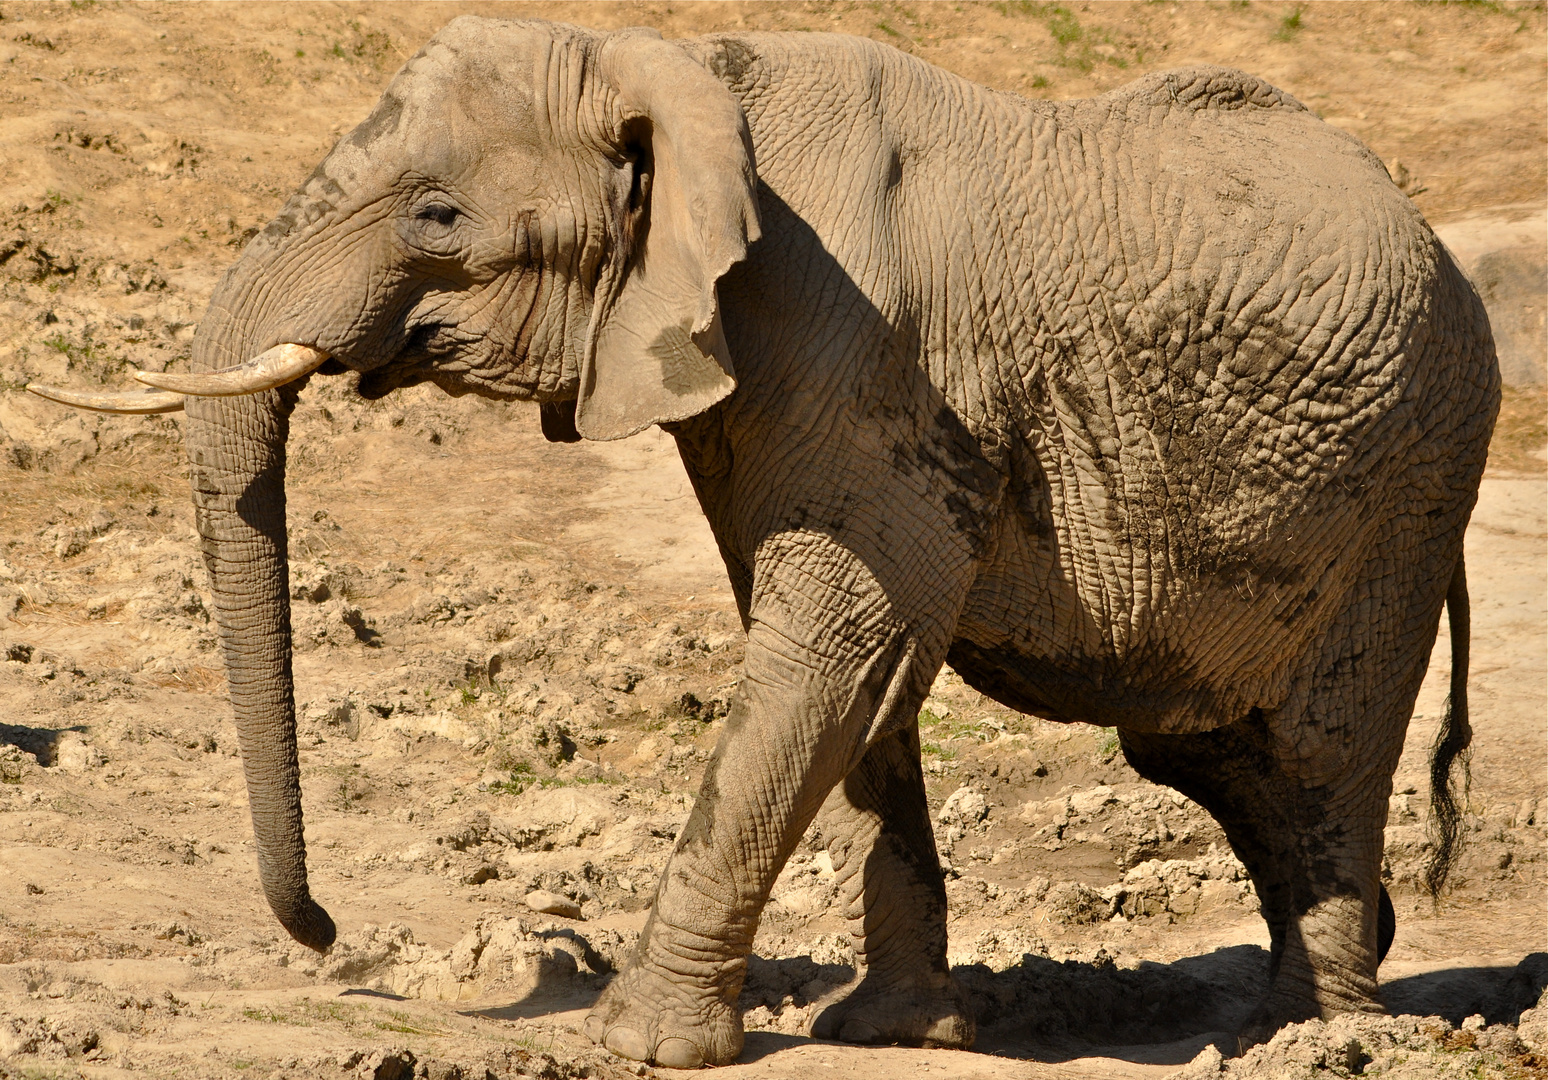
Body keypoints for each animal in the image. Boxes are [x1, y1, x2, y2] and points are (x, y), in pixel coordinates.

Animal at [27, 14, 1498, 1070]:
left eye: (436, 216)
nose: (331, 939)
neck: (684, 64)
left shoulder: (861, 342)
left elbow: (831, 645)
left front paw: (636, 1045)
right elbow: (857, 673)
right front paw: (892, 1031)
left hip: (1415, 479)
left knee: (1319, 751)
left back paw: (1310, 1037)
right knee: (1220, 757)